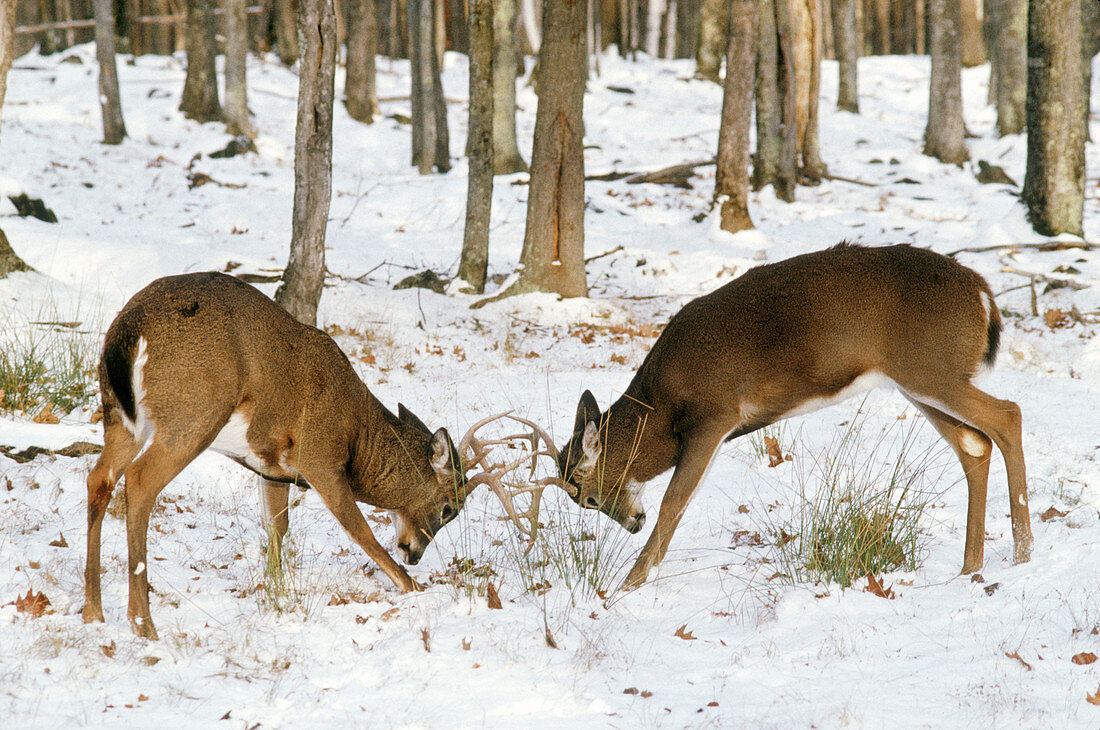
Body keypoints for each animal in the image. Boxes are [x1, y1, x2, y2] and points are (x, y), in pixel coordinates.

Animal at [81, 272, 481, 637]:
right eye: (450, 508)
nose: (414, 554)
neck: (357, 437)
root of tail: (129, 328)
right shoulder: (320, 457)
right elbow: (359, 530)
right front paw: (415, 588)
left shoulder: (270, 469)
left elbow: (277, 528)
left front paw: (274, 593)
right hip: (192, 412)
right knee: (139, 482)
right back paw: (143, 623)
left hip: (118, 414)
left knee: (99, 478)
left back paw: (93, 611)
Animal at [554, 241, 1034, 589]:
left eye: (588, 498)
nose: (632, 523)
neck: (662, 408)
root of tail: (983, 294)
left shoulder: (716, 413)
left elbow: (674, 503)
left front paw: (626, 586)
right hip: (918, 380)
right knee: (975, 445)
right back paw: (970, 568)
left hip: (931, 370)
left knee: (1008, 415)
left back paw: (1023, 554)